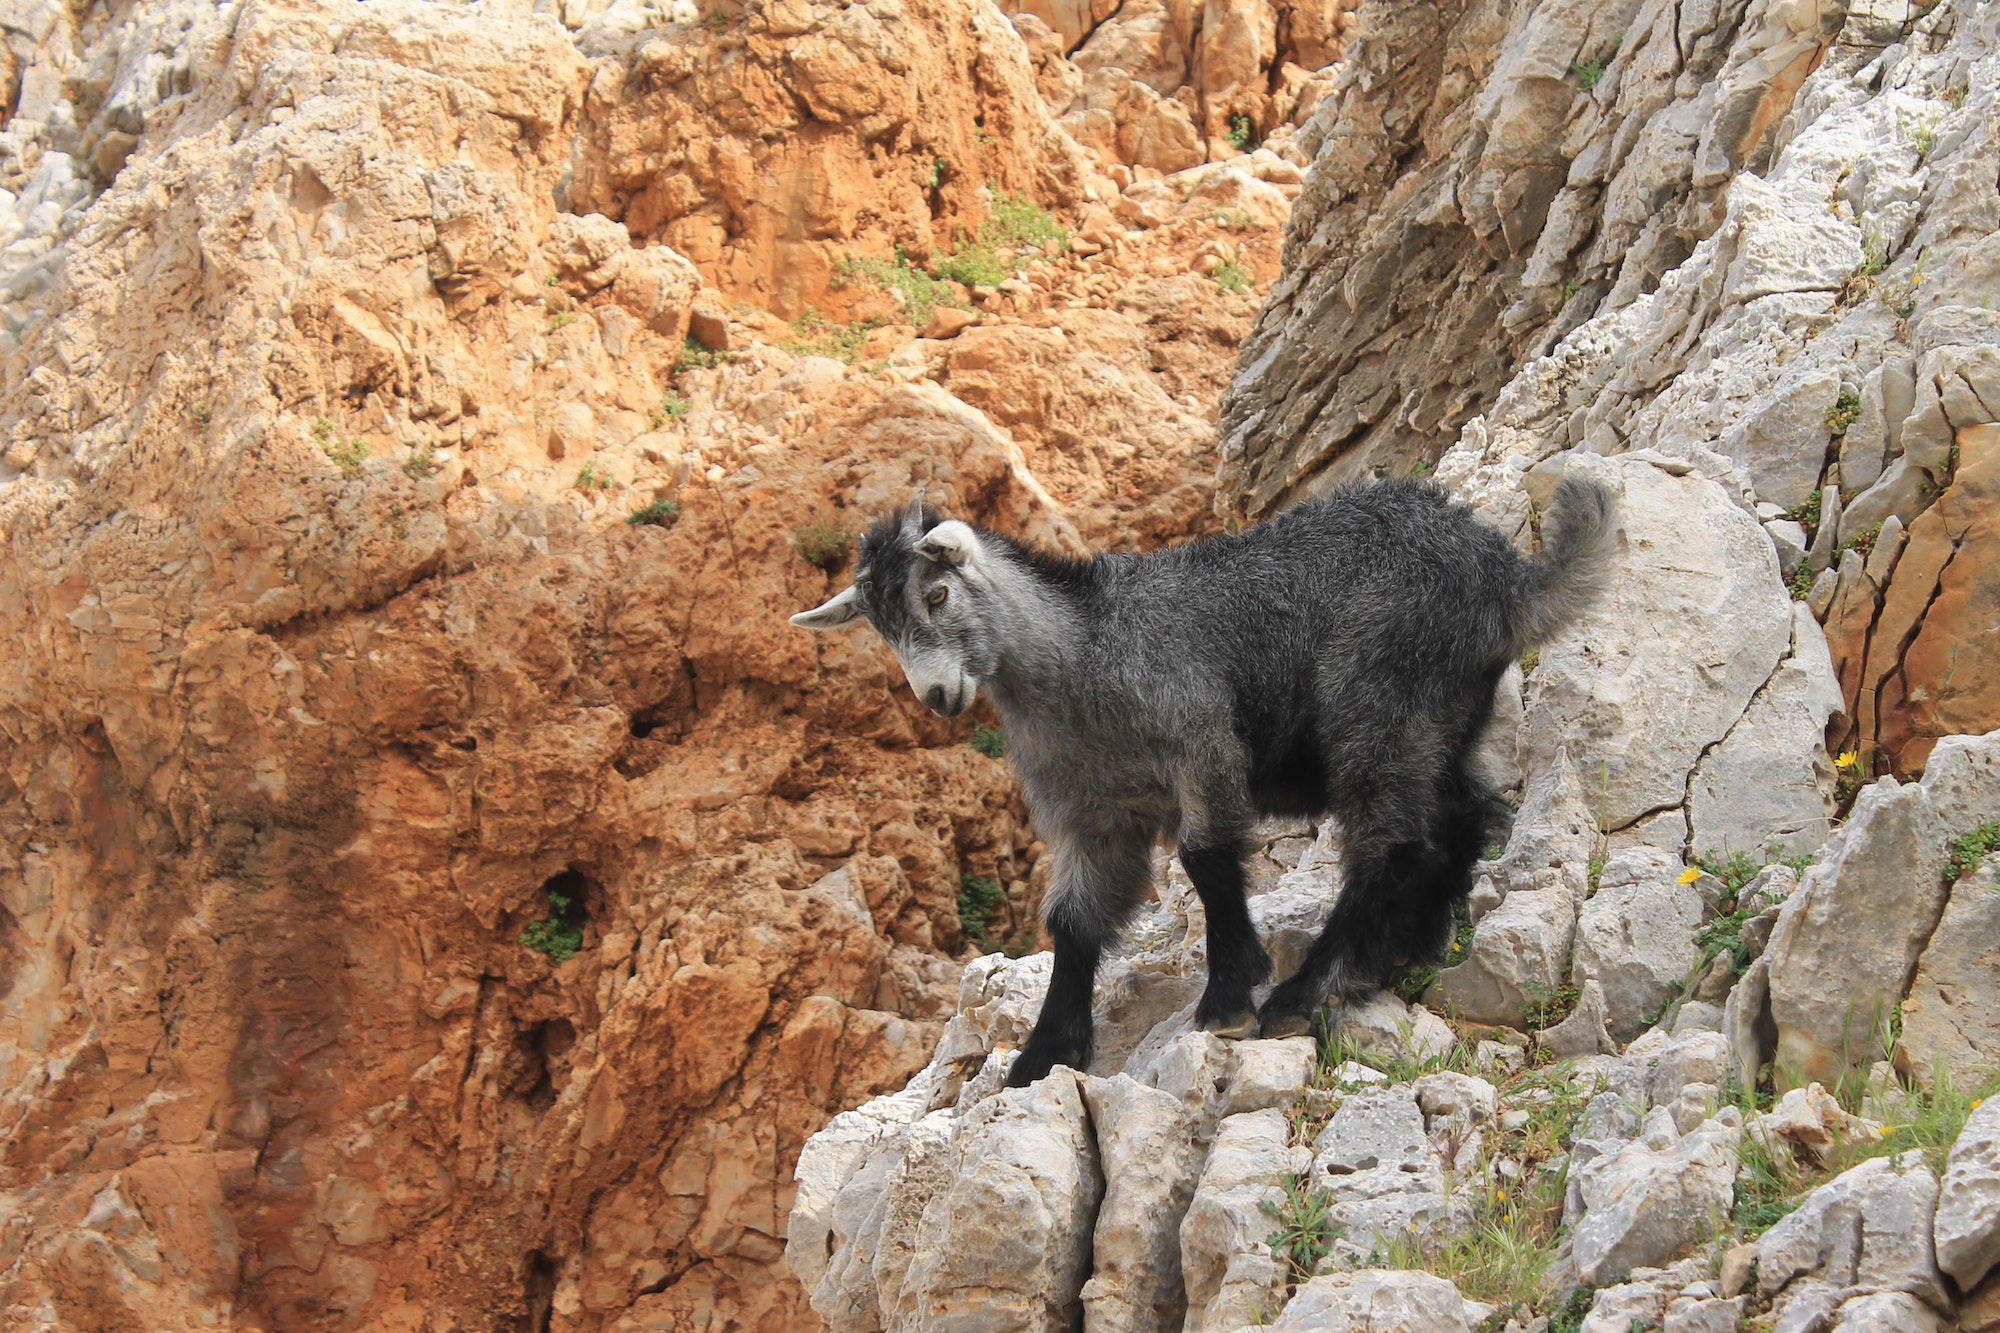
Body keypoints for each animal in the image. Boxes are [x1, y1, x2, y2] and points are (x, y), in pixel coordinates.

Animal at [790, 476, 1616, 1087]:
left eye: (936, 594)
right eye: (881, 626)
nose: (936, 694)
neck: (1086, 652)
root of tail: (1507, 581)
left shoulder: (1203, 745)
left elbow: (1206, 859)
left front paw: (1227, 994)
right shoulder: (1098, 814)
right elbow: (1074, 921)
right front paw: (1044, 1053)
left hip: (1381, 697)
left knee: (1395, 841)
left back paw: (1306, 988)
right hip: (1443, 720)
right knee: (1462, 819)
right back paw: (1403, 948)